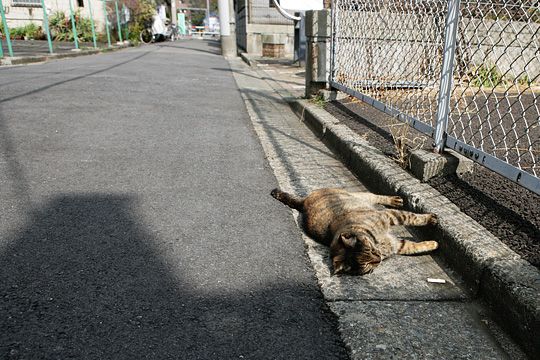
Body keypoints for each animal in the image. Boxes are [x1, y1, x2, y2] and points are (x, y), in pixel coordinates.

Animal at [270, 188, 438, 276]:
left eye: (371, 250)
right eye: (368, 266)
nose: (378, 258)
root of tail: (303, 202)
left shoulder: (388, 216)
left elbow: (412, 217)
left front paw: (429, 219)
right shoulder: (396, 244)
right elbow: (413, 247)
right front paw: (433, 244)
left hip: (359, 196)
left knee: (374, 196)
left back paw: (394, 200)